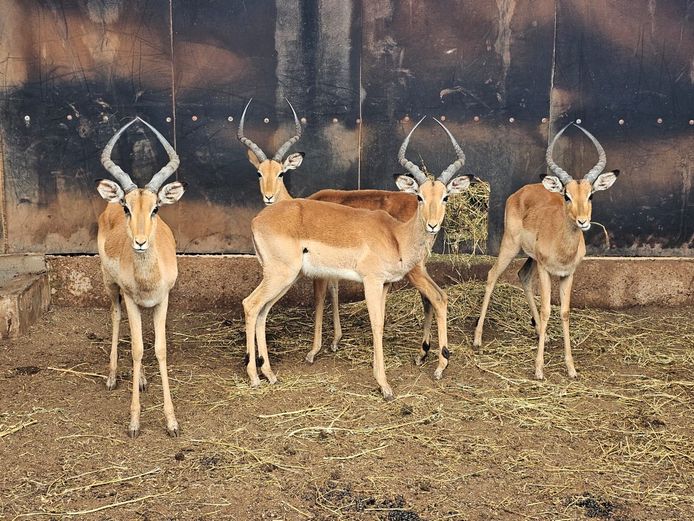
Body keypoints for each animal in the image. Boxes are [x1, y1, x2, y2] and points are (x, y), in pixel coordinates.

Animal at [96, 117, 185, 437]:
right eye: (127, 207)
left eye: (156, 208)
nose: (140, 241)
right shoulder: (132, 299)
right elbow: (136, 349)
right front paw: (134, 422)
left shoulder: (163, 300)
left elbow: (158, 349)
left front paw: (172, 422)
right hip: (110, 286)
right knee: (115, 316)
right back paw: (111, 377)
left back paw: (144, 379)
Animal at [243, 116, 475, 400]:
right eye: (420, 196)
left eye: (445, 197)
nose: (432, 225)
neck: (395, 235)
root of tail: (258, 219)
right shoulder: (370, 281)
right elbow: (374, 324)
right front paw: (384, 385)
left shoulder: (384, 284)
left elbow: (379, 322)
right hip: (281, 276)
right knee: (251, 305)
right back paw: (255, 377)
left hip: (283, 278)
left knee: (262, 312)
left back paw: (269, 373)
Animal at [473, 122, 619, 380]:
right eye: (566, 195)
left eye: (590, 194)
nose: (583, 221)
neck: (562, 246)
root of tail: (519, 192)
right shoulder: (545, 269)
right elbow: (546, 310)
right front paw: (539, 369)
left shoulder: (567, 274)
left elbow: (564, 312)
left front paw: (571, 368)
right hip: (510, 246)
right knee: (492, 275)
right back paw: (478, 339)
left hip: (530, 258)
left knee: (522, 276)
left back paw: (543, 333)